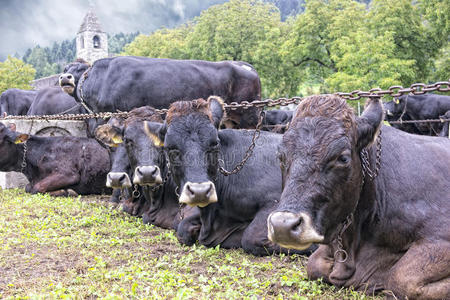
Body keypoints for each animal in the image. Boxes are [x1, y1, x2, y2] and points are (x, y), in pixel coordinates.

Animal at [60, 56, 264, 128]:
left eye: (79, 69)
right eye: (65, 68)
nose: (65, 77)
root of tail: (244, 65)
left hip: (250, 116)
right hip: (231, 119)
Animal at [156, 96, 314, 255]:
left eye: (214, 143)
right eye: (170, 148)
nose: (200, 191)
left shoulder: (276, 201)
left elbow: (252, 237)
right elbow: (182, 228)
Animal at [268, 95, 450, 298]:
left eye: (343, 158)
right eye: (280, 156)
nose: (282, 225)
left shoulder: (441, 235)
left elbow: (402, 279)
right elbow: (313, 265)